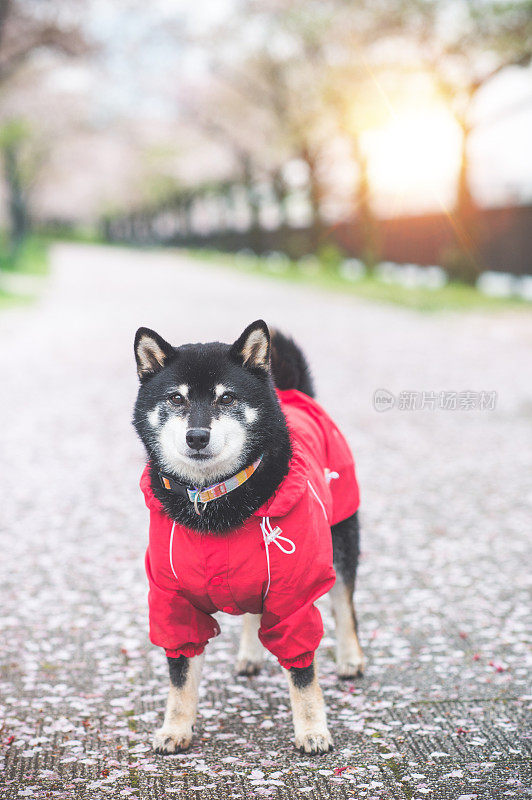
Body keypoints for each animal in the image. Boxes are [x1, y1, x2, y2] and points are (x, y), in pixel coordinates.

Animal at [132, 320, 362, 756]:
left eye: (226, 397)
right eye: (176, 398)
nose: (197, 436)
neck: (212, 500)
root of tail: (293, 392)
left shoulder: (293, 597)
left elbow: (303, 674)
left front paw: (312, 730)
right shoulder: (173, 602)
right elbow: (180, 676)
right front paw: (175, 728)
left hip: (342, 535)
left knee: (345, 604)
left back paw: (351, 658)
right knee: (254, 611)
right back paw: (251, 654)